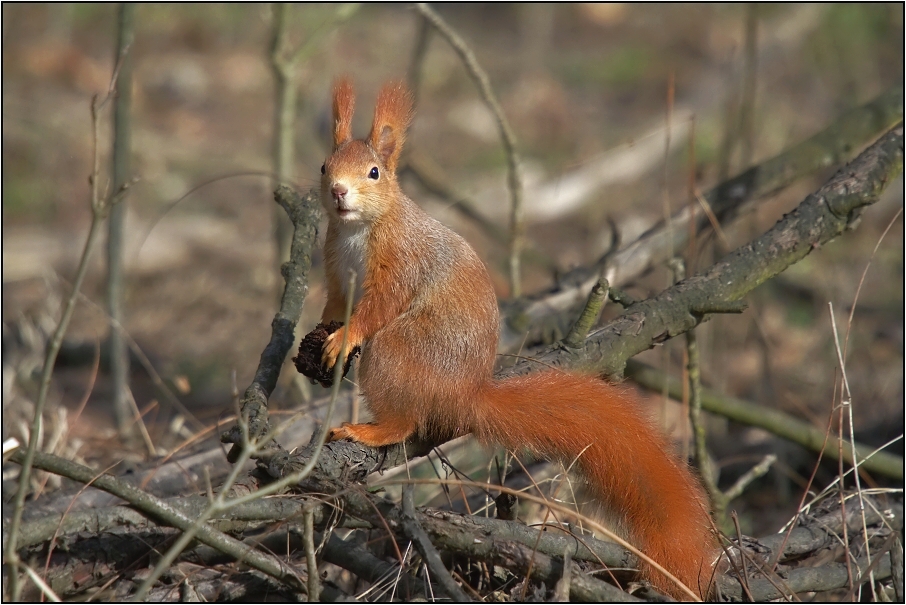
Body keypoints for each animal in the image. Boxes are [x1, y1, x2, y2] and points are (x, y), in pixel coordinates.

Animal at [314, 76, 716, 600]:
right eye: (324, 166)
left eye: (375, 172)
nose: (338, 191)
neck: (357, 230)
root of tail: (464, 396)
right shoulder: (337, 272)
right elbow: (336, 303)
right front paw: (321, 330)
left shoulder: (400, 265)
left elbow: (376, 308)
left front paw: (346, 336)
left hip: (397, 353)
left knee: (405, 421)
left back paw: (370, 428)